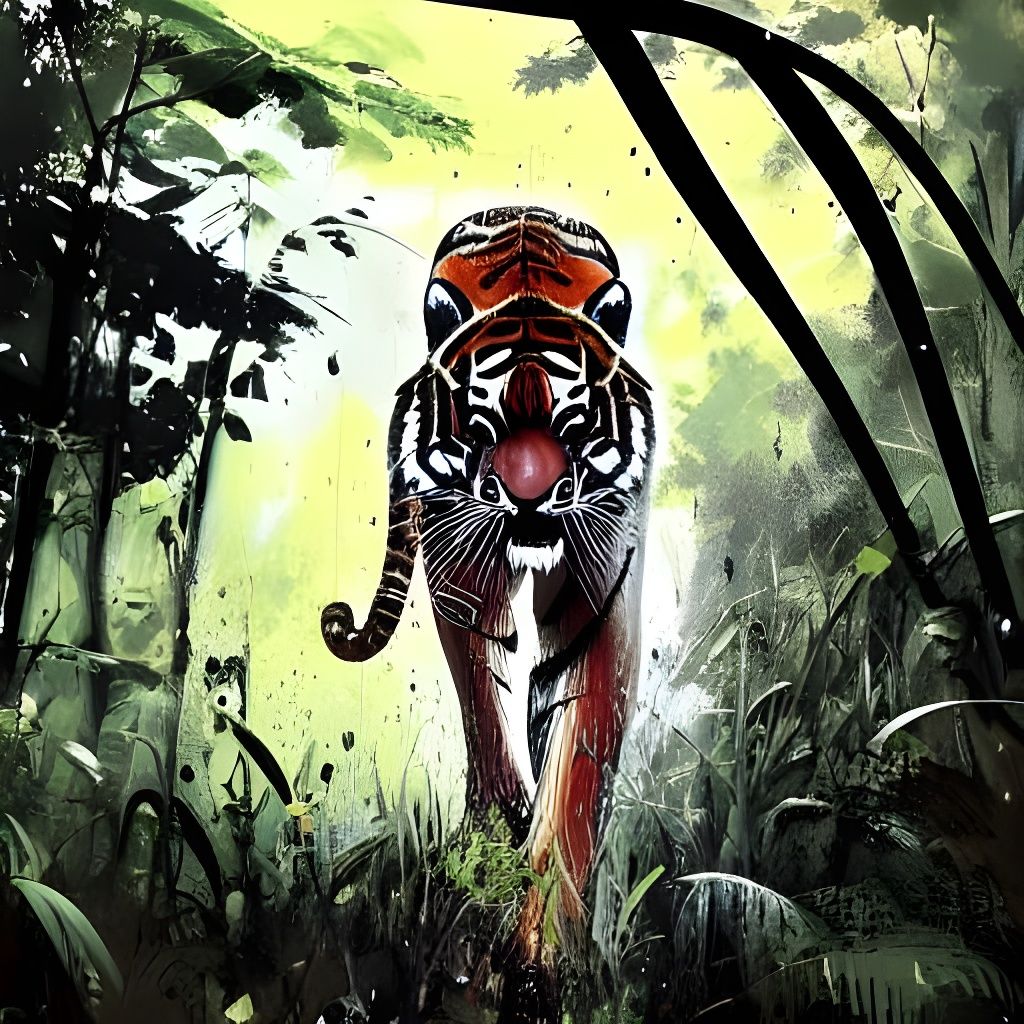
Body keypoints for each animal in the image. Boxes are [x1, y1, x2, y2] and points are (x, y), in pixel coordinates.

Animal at [322, 206, 654, 1000]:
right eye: (484, 425)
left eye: (572, 423)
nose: (530, 499)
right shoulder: (459, 562)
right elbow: (487, 701)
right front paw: (492, 845)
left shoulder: (602, 591)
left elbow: (575, 761)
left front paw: (541, 954)